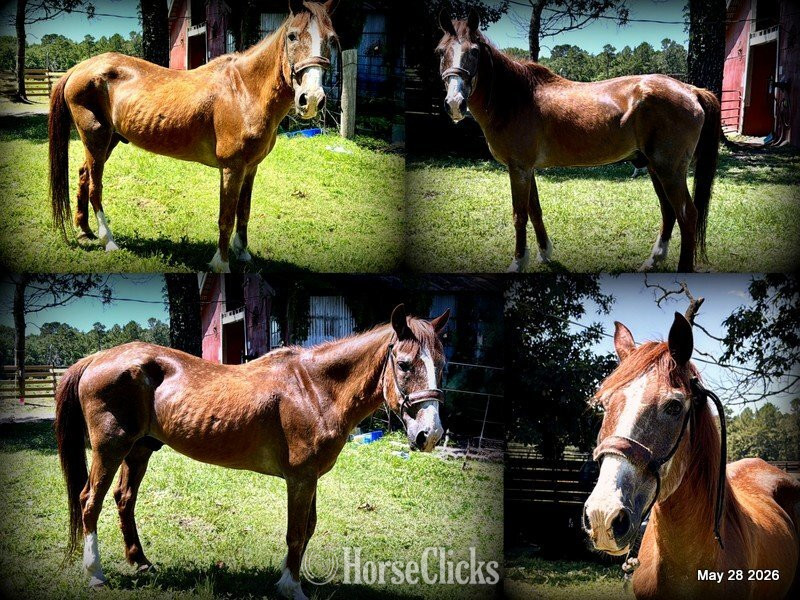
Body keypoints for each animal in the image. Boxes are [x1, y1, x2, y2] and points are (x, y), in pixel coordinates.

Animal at [49, 0, 338, 273]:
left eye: (331, 39)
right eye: (292, 36)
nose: (311, 99)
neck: (244, 91)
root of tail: (79, 68)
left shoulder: (251, 168)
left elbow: (244, 212)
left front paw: (243, 253)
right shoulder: (232, 168)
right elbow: (226, 217)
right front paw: (221, 263)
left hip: (108, 140)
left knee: (83, 176)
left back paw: (85, 232)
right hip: (96, 138)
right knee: (95, 187)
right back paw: (108, 240)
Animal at [54, 304, 450, 599]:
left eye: (442, 365)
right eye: (404, 364)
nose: (430, 434)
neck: (315, 389)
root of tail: (97, 358)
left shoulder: (310, 479)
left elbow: (308, 529)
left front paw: (288, 581)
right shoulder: (300, 479)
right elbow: (296, 532)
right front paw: (291, 588)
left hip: (140, 449)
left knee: (124, 499)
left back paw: (140, 562)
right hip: (111, 447)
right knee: (90, 501)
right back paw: (96, 574)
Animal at [435, 10, 721, 273]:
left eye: (474, 52)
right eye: (440, 52)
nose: (455, 104)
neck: (515, 98)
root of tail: (691, 90)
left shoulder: (518, 169)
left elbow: (520, 215)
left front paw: (517, 263)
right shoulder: (527, 169)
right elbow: (535, 210)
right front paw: (544, 253)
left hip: (669, 170)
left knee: (687, 215)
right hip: (654, 168)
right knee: (669, 212)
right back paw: (652, 261)